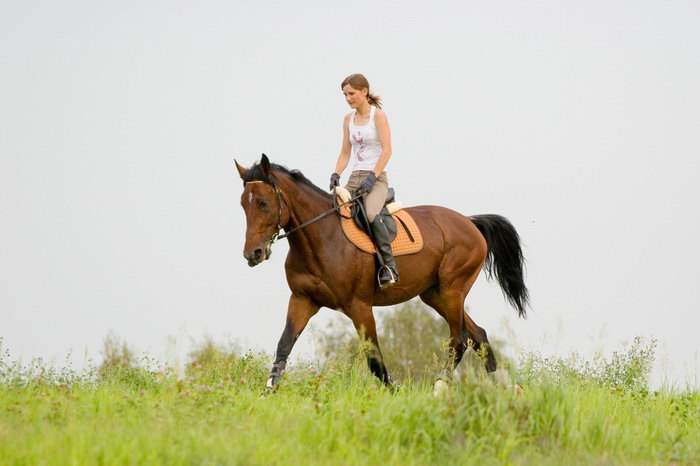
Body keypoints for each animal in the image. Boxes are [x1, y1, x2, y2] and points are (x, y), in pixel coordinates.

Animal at [237, 155, 532, 388]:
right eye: (243, 204)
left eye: (263, 203)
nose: (253, 254)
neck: (320, 239)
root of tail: (470, 222)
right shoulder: (303, 300)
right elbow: (283, 346)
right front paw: (267, 393)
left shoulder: (359, 306)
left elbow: (375, 361)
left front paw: (397, 393)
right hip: (435, 295)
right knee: (478, 336)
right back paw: (506, 389)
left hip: (453, 289)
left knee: (458, 339)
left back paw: (440, 388)